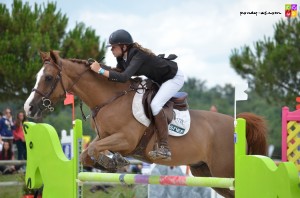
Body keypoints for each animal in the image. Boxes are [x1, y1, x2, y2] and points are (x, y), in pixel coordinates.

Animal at [24, 50, 268, 197]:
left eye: (47, 78)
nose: (29, 108)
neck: (110, 100)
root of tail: (238, 124)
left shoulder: (127, 139)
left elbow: (93, 150)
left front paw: (113, 162)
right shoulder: (104, 137)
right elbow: (87, 154)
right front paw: (113, 163)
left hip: (225, 171)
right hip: (207, 173)